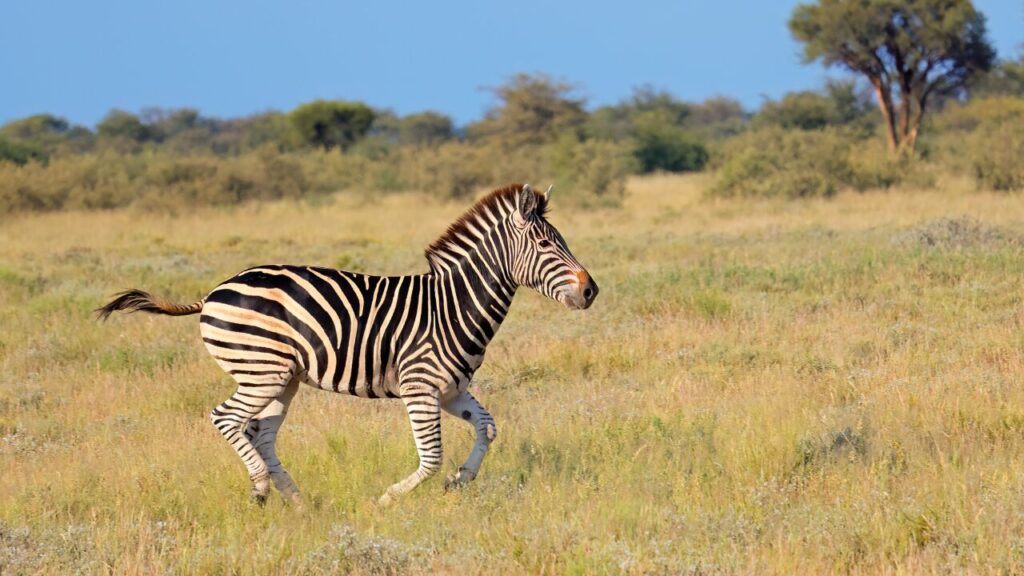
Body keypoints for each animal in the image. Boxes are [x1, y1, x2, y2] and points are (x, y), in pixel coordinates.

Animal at [97, 183, 599, 505]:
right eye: (545, 245)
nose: (592, 291)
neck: (453, 305)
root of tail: (215, 289)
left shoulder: (451, 390)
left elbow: (488, 430)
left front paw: (461, 481)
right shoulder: (420, 388)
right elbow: (431, 457)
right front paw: (388, 499)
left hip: (283, 379)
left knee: (261, 434)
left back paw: (299, 502)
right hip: (263, 372)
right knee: (227, 419)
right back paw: (261, 488)